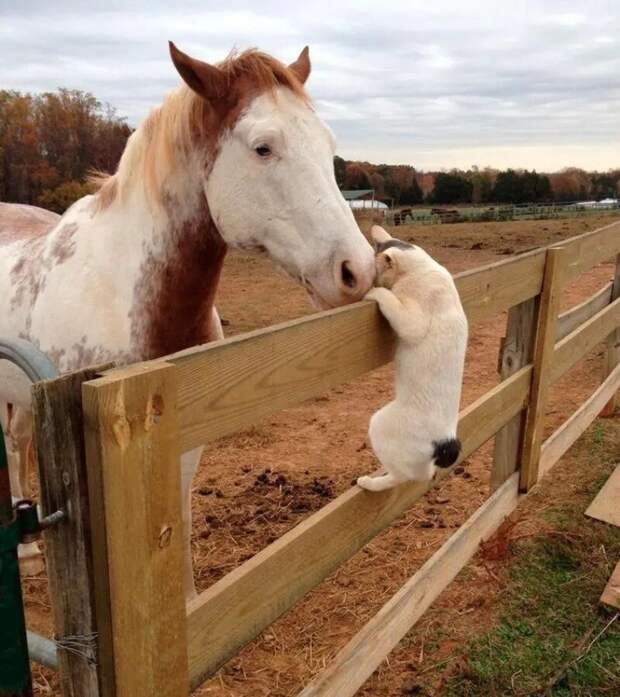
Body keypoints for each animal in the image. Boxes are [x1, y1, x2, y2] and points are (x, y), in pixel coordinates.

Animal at [0, 42, 372, 600]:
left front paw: (190, 602)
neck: (132, 300)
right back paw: (24, 553)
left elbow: (178, 515)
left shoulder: (185, 435)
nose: (358, 270)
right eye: (263, 148)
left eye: (328, 145)